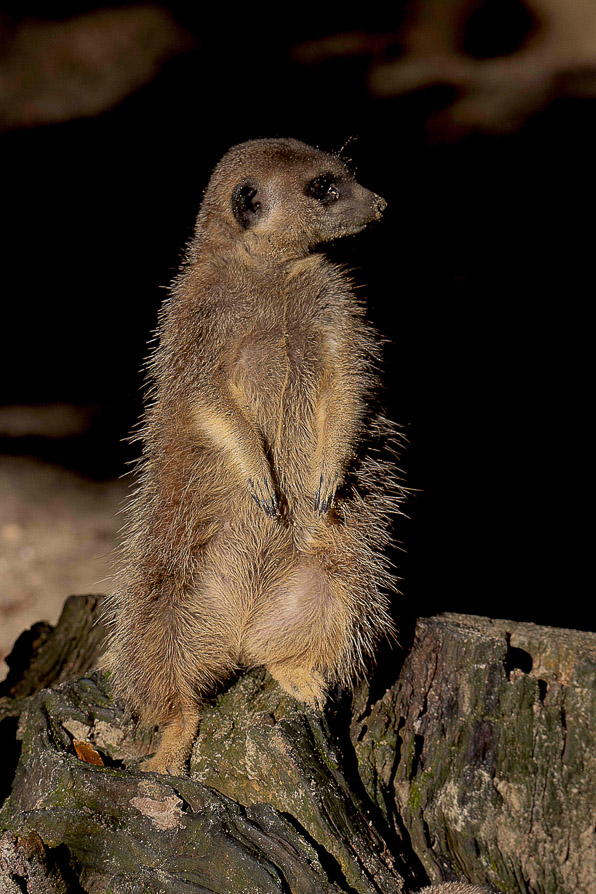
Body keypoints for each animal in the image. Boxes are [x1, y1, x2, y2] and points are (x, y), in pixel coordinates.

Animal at [103, 137, 403, 774]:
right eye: (323, 186)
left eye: (345, 175)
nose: (381, 203)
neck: (271, 274)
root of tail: (237, 634)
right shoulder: (191, 321)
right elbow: (201, 394)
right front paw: (260, 476)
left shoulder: (337, 307)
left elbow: (350, 378)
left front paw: (325, 475)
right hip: (162, 584)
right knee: (156, 660)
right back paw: (173, 736)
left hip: (340, 576)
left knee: (340, 612)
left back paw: (300, 674)